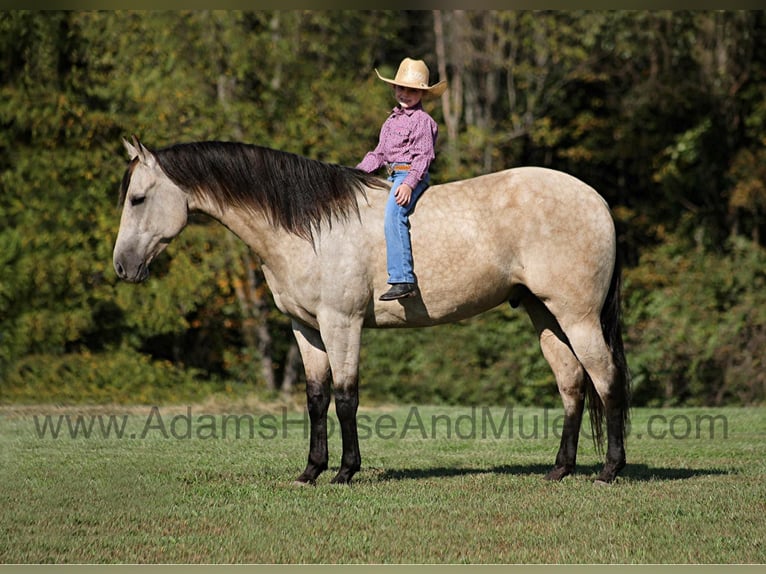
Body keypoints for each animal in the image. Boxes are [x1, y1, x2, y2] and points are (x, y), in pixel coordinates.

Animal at [114, 137, 632, 488]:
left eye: (137, 198)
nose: (122, 266)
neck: (309, 227)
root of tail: (597, 201)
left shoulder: (341, 323)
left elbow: (346, 397)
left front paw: (345, 471)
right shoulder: (306, 329)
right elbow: (316, 398)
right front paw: (311, 471)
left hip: (578, 317)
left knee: (606, 380)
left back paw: (609, 470)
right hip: (546, 317)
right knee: (572, 385)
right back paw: (560, 469)